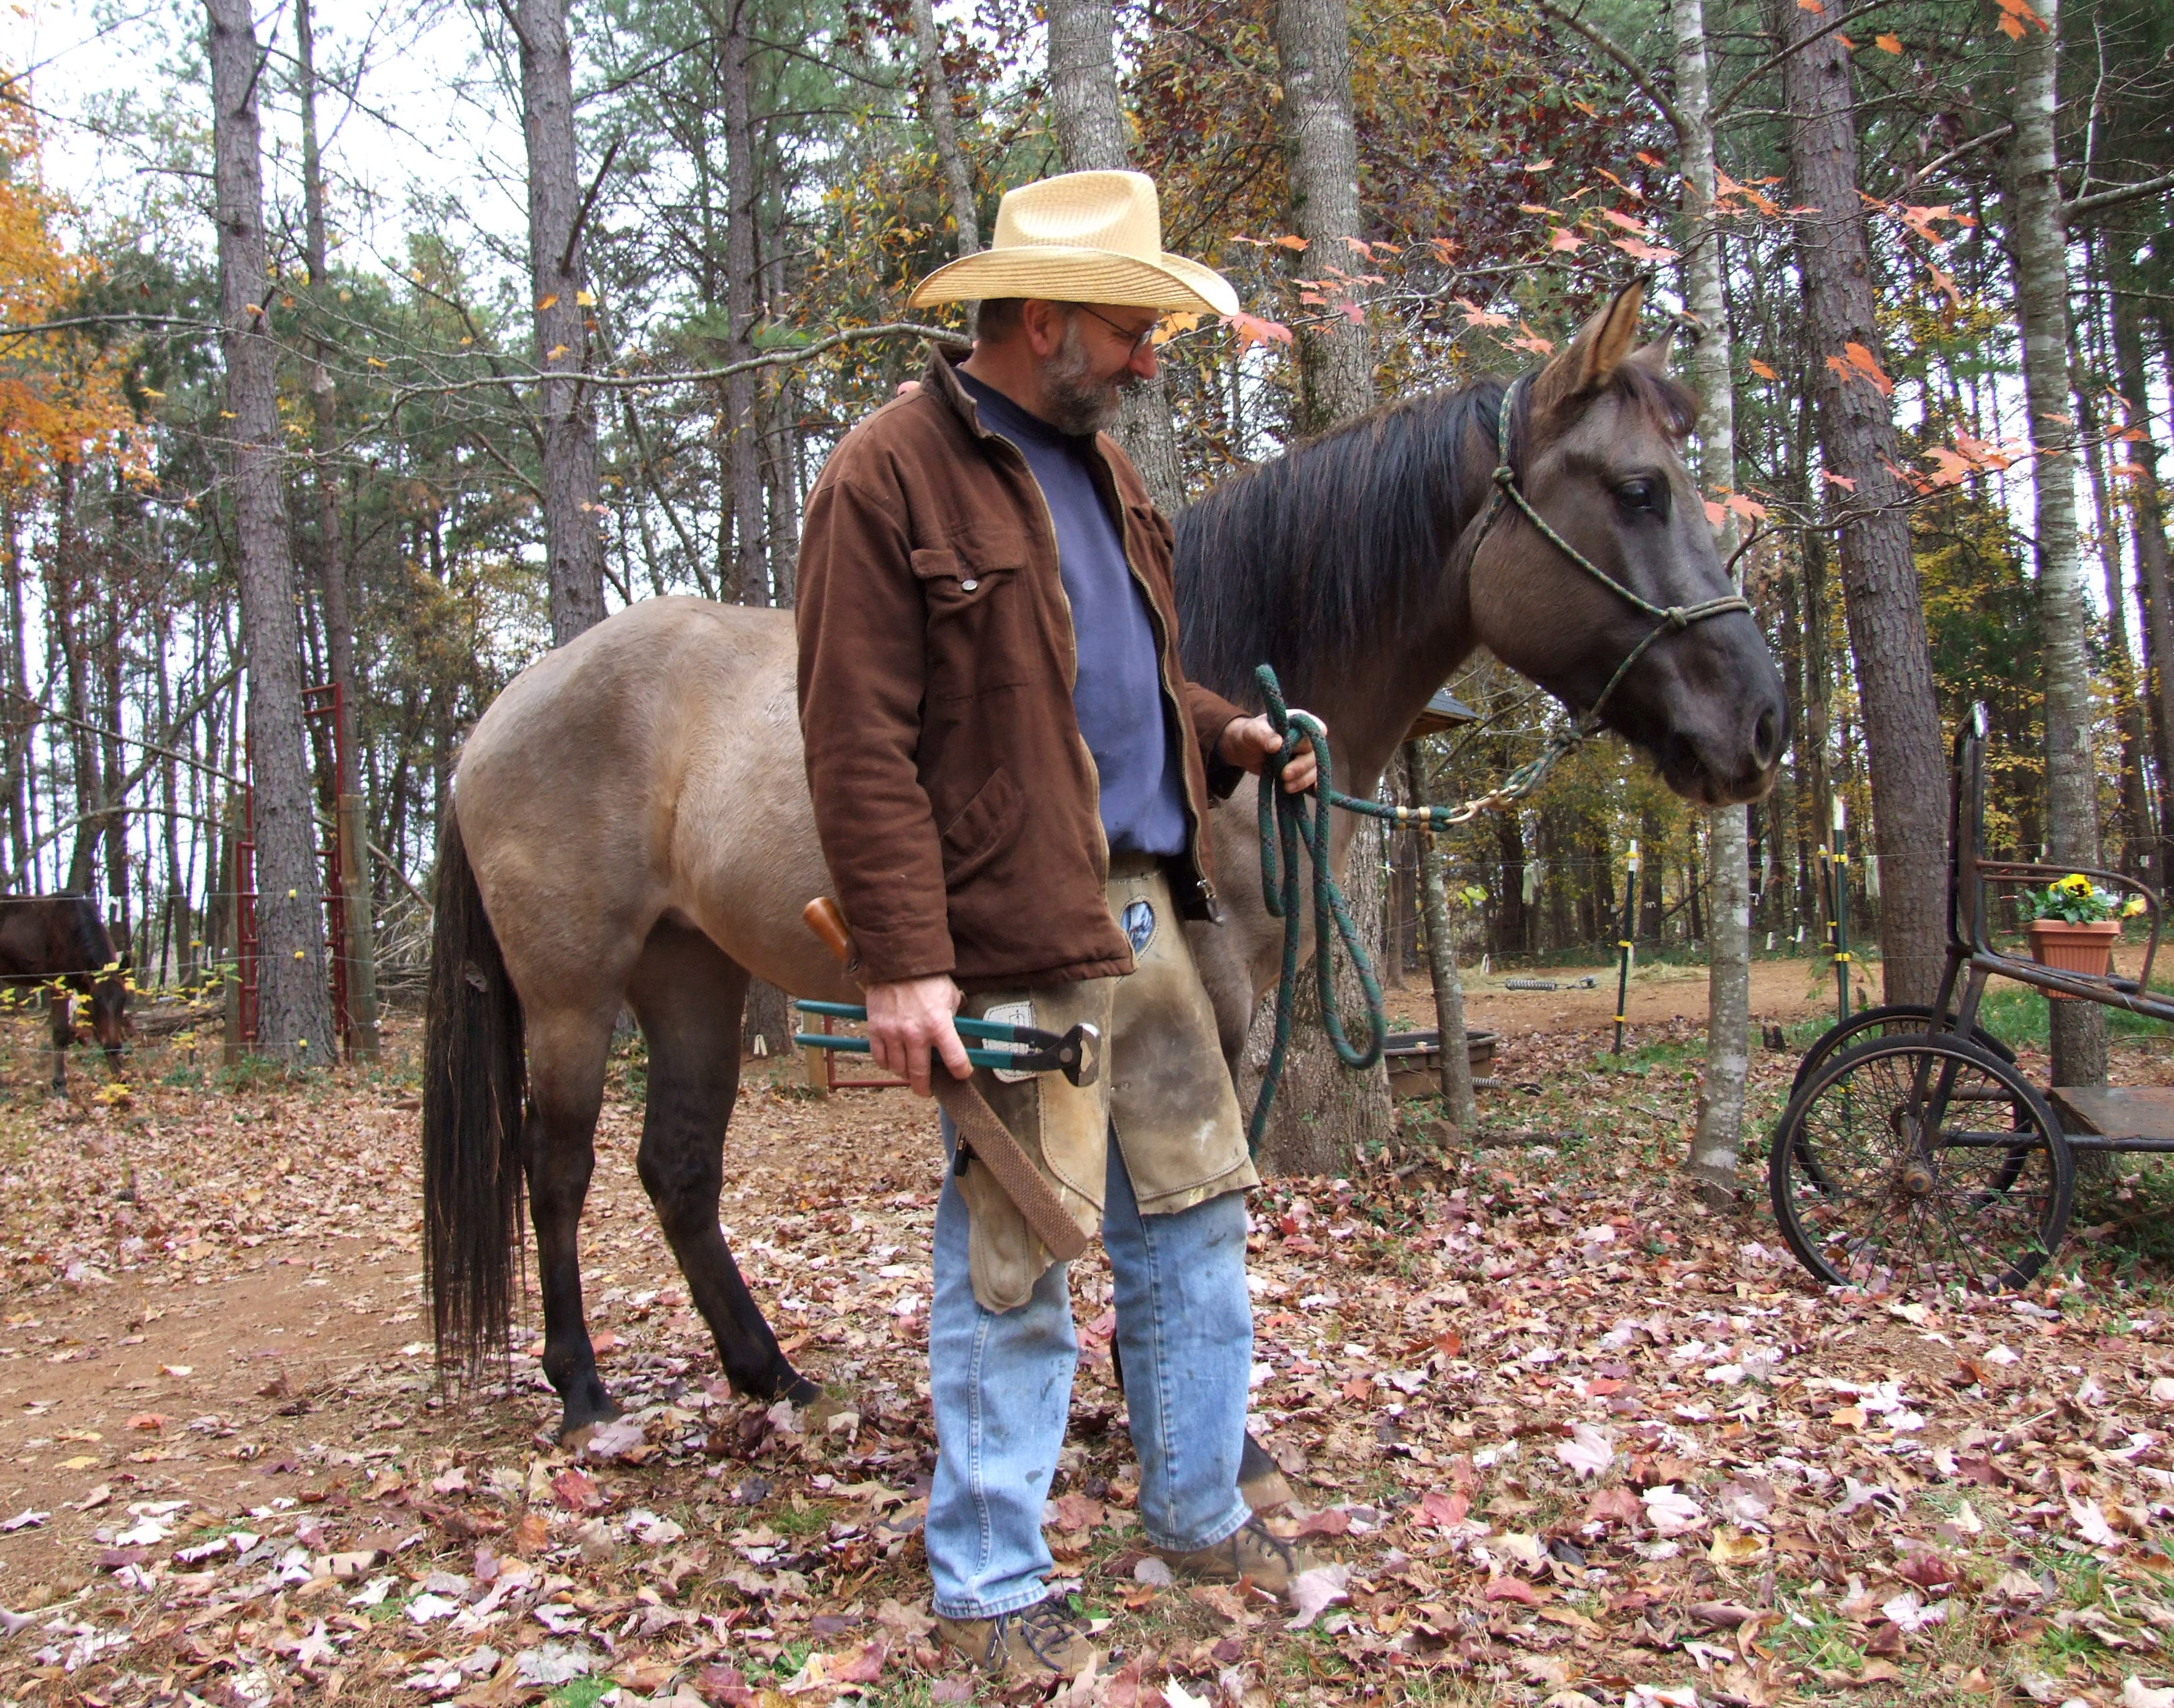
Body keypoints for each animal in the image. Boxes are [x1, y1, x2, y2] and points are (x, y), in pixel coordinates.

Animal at [0, 894, 132, 1093]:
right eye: (97, 1000)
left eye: (124, 999)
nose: (114, 1047)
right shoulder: (58, 984)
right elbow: (61, 1033)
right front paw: (60, 1084)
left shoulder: (83, 985)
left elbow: (95, 1030)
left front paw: (120, 1076)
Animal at [423, 282, 1788, 1455]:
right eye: (1641, 490)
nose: (1761, 727)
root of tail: (498, 712)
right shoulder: (1204, 1001)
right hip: (573, 995)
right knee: (560, 1170)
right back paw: (582, 1389)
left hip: (691, 977)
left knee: (679, 1170)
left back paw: (769, 1374)